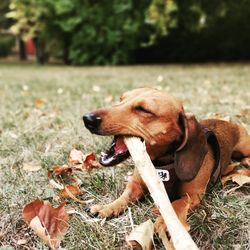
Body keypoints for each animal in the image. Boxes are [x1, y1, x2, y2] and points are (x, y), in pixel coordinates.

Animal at [82, 87, 250, 232]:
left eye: (144, 109)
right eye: (121, 99)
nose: (87, 118)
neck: (160, 163)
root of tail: (229, 122)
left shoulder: (193, 195)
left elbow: (177, 204)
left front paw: (166, 223)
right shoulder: (136, 185)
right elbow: (124, 197)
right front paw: (107, 207)